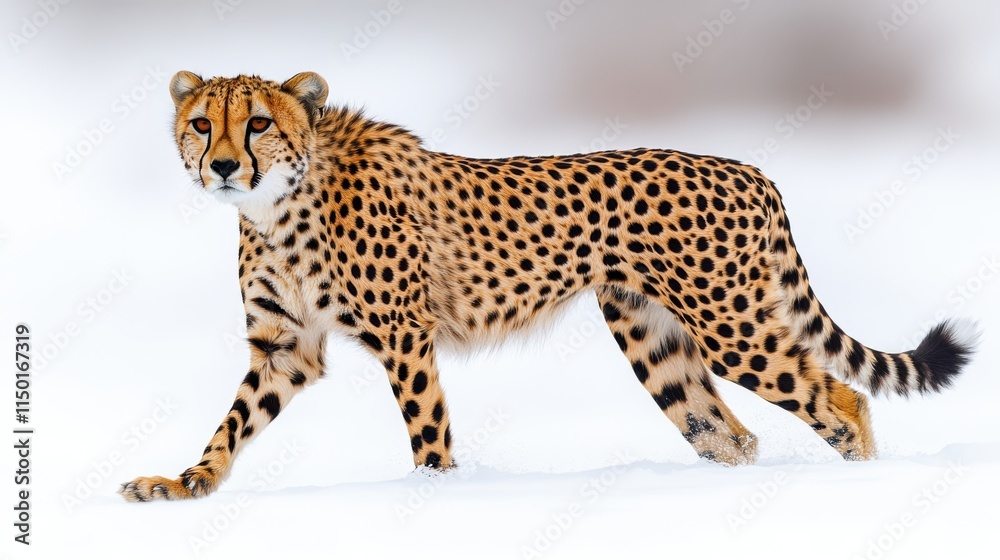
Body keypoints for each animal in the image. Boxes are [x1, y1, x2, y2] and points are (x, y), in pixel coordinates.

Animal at [119, 71, 978, 501]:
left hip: (731, 326)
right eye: (204, 123)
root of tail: (747, 166)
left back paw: (861, 486)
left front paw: (432, 498)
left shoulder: (405, 338)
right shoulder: (285, 348)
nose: (223, 165)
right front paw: (186, 484)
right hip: (653, 339)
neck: (277, 205)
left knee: (842, 399)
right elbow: (231, 425)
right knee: (727, 436)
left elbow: (427, 431)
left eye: (259, 123)